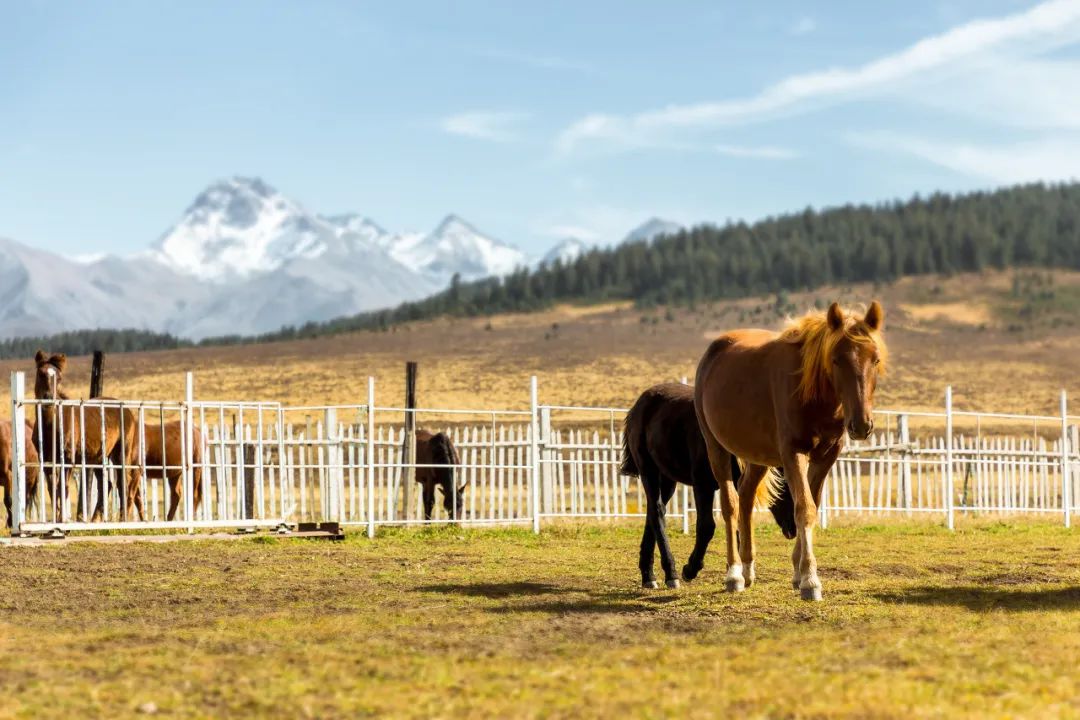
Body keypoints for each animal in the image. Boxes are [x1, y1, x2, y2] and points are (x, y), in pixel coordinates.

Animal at [32, 349, 145, 524]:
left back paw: (121, 519)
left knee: (122, 485)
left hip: (121, 454)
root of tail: (127, 411)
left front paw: (62, 520)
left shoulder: (68, 459)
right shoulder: (46, 461)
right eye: (41, 373)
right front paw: (56, 519)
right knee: (108, 484)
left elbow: (62, 487)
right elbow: (52, 489)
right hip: (98, 458)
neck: (53, 425)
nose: (49, 398)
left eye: (59, 378)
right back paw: (94, 519)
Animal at [622, 386, 799, 587]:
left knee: (652, 513)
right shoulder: (702, 485)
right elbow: (706, 527)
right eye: (786, 486)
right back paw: (671, 573)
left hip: (667, 479)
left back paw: (648, 575)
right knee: (658, 512)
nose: (793, 528)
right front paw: (691, 569)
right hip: (648, 471)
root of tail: (638, 405)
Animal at [691, 302, 885, 600]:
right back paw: (734, 573)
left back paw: (748, 567)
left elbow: (812, 506)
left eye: (874, 359)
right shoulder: (794, 454)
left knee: (746, 497)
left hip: (757, 456)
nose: (862, 425)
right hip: (716, 448)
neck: (814, 394)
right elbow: (804, 508)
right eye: (836, 359)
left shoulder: (826, 457)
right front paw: (810, 581)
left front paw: (798, 573)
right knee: (730, 504)